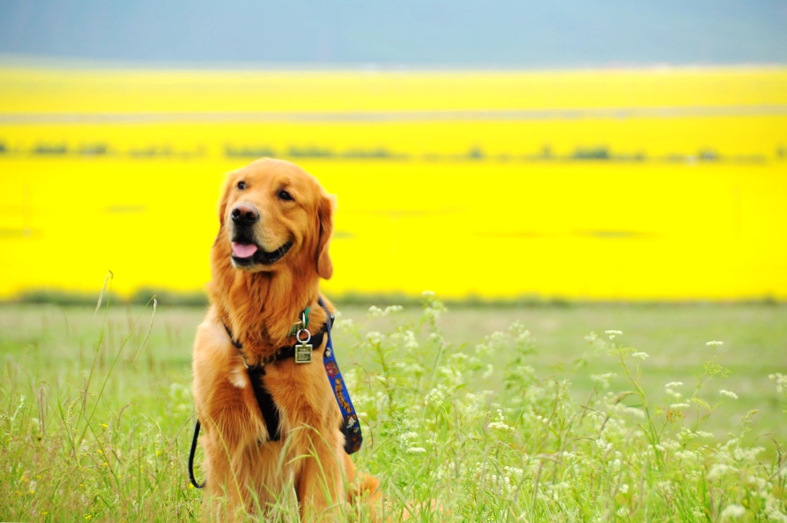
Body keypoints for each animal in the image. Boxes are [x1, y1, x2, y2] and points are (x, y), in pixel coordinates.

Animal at [189, 159, 378, 520]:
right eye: (242, 186)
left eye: (286, 195)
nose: (242, 214)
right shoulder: (224, 439)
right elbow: (229, 507)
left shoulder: (318, 435)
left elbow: (320, 507)